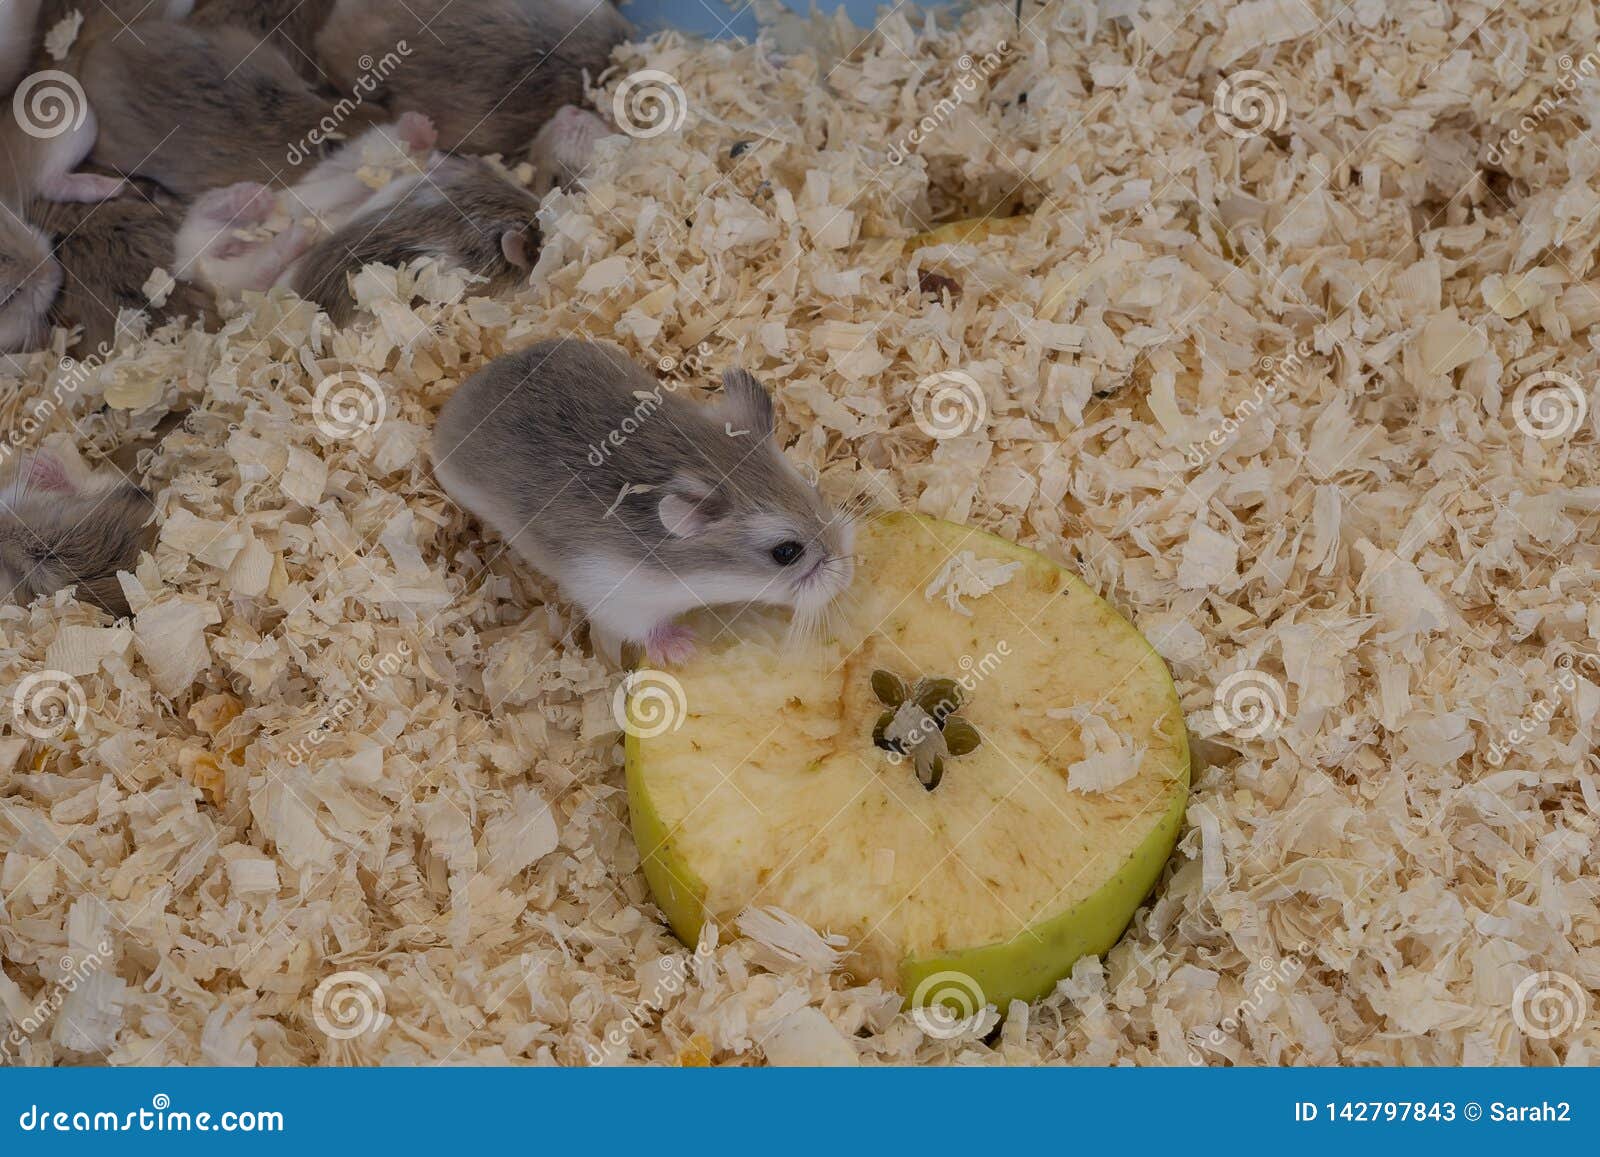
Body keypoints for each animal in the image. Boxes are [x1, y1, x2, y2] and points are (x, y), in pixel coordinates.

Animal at [425, 339, 851, 665]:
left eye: (814, 489)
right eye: (786, 553)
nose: (847, 577)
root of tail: (465, 390)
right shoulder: (616, 593)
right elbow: (642, 627)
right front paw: (683, 649)